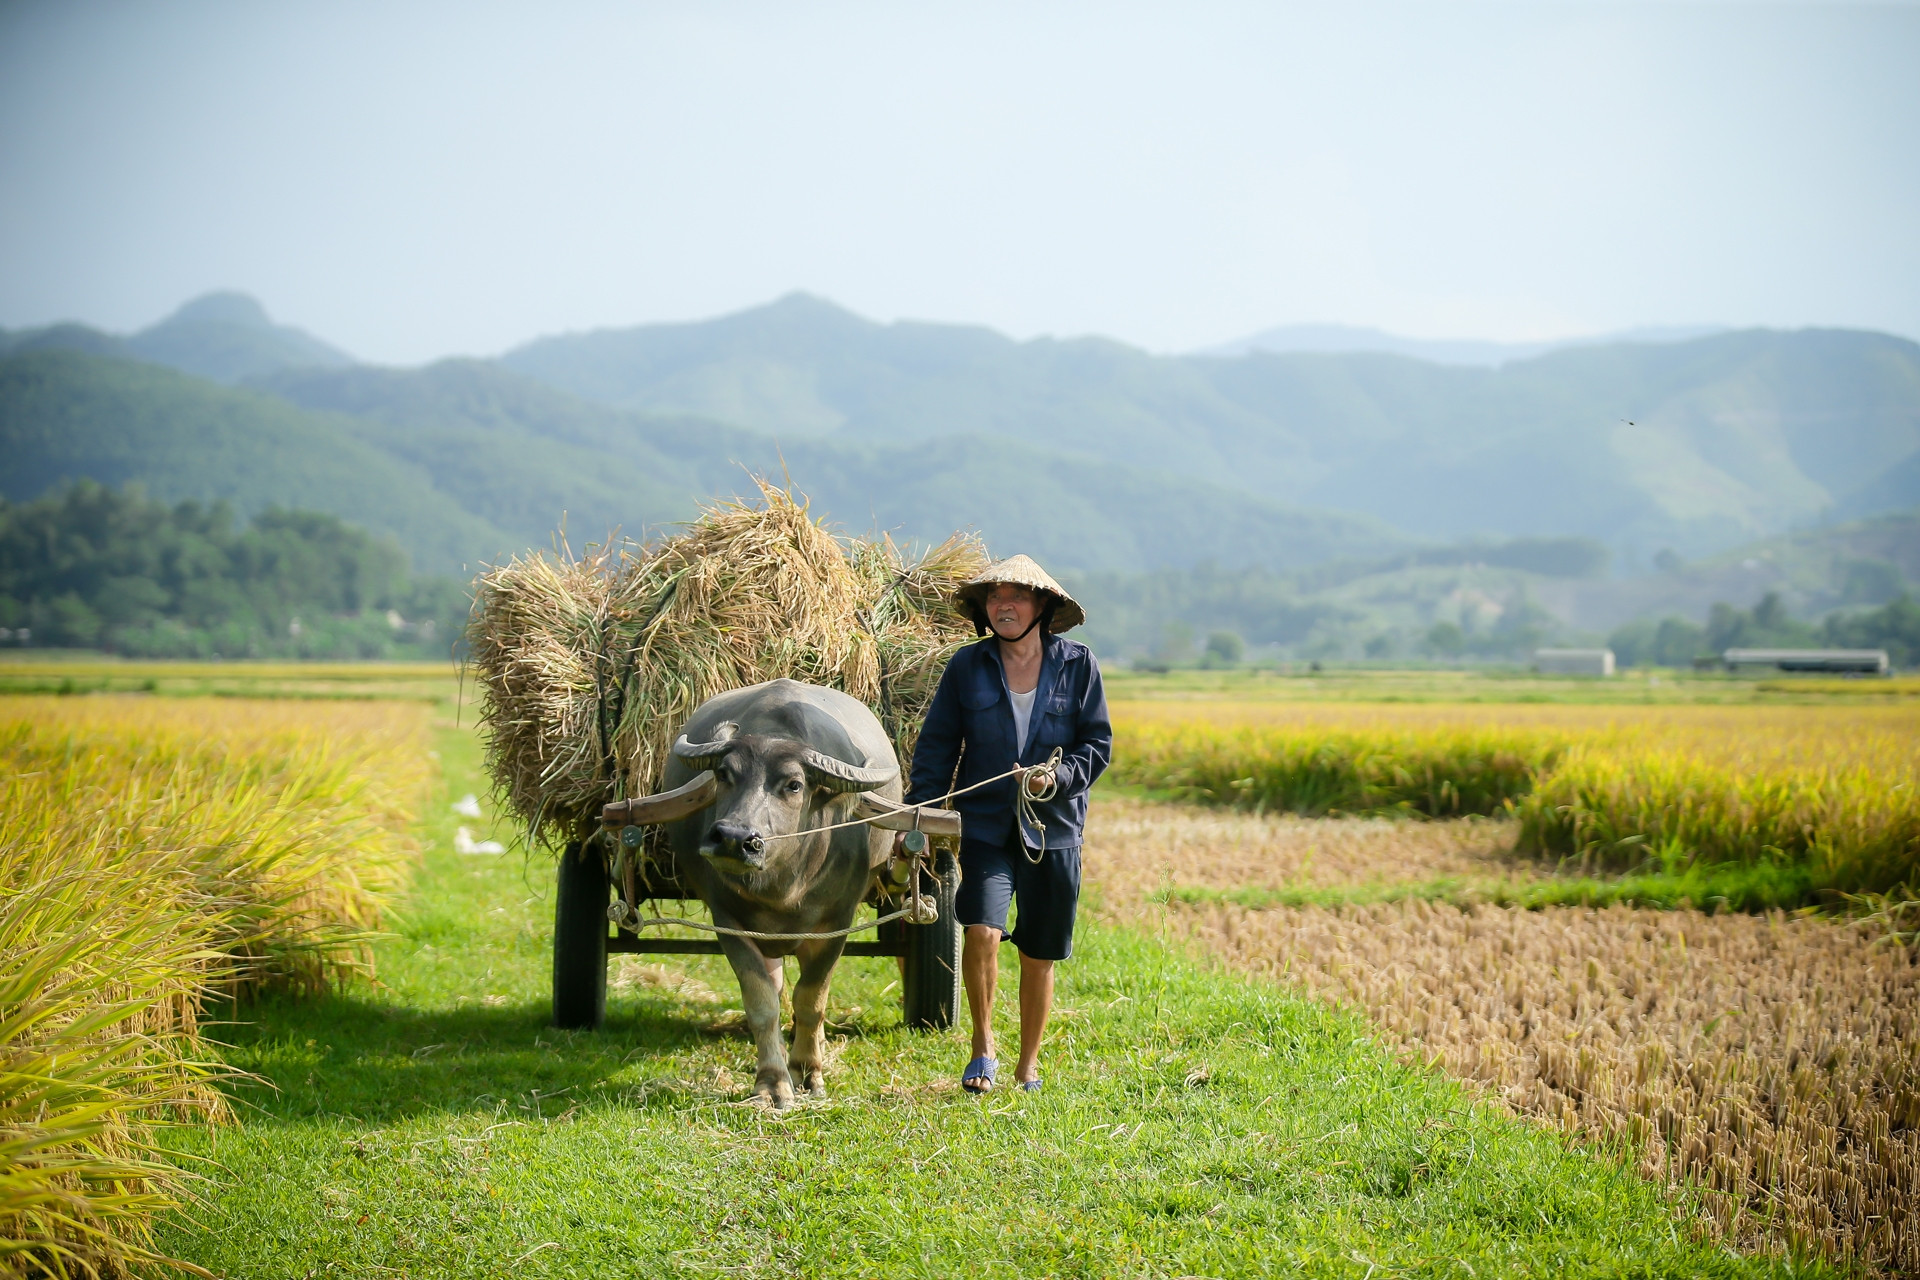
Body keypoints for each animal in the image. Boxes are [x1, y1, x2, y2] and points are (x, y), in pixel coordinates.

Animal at [656, 679, 902, 1113]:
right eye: (724, 773)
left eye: (794, 784)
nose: (733, 838)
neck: (783, 884)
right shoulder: (729, 923)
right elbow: (762, 1002)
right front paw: (773, 1083)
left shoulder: (836, 925)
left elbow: (812, 1000)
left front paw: (809, 1074)